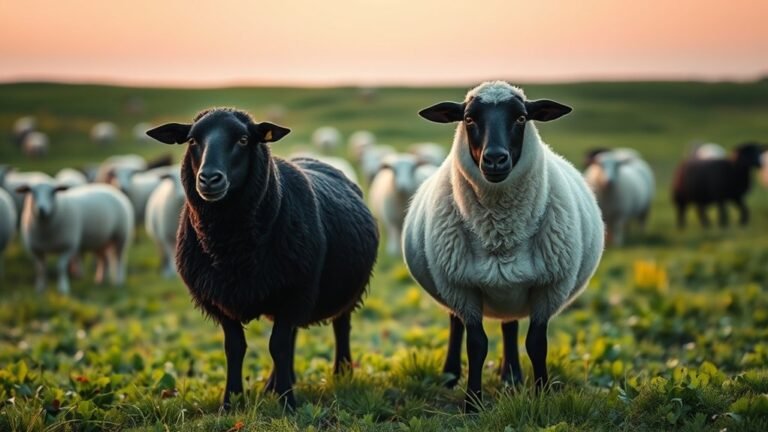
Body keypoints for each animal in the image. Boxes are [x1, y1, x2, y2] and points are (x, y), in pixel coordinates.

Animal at [146, 108, 379, 410]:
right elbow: (236, 348)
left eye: (244, 140)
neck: (230, 248)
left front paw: (287, 402)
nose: (209, 178)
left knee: (341, 326)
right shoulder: (219, 300)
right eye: (193, 140)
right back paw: (274, 383)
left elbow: (277, 346)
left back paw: (341, 373)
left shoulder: (296, 290)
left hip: (342, 290)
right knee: (292, 335)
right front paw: (230, 401)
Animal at [403, 81, 604, 412]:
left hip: (511, 290)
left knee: (509, 326)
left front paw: (542, 392)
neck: (501, 233)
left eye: (521, 118)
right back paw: (450, 375)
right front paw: (472, 402)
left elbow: (536, 344)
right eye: (469, 118)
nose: (495, 158)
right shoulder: (462, 287)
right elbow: (476, 345)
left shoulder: (549, 287)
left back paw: (511, 377)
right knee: (455, 323)